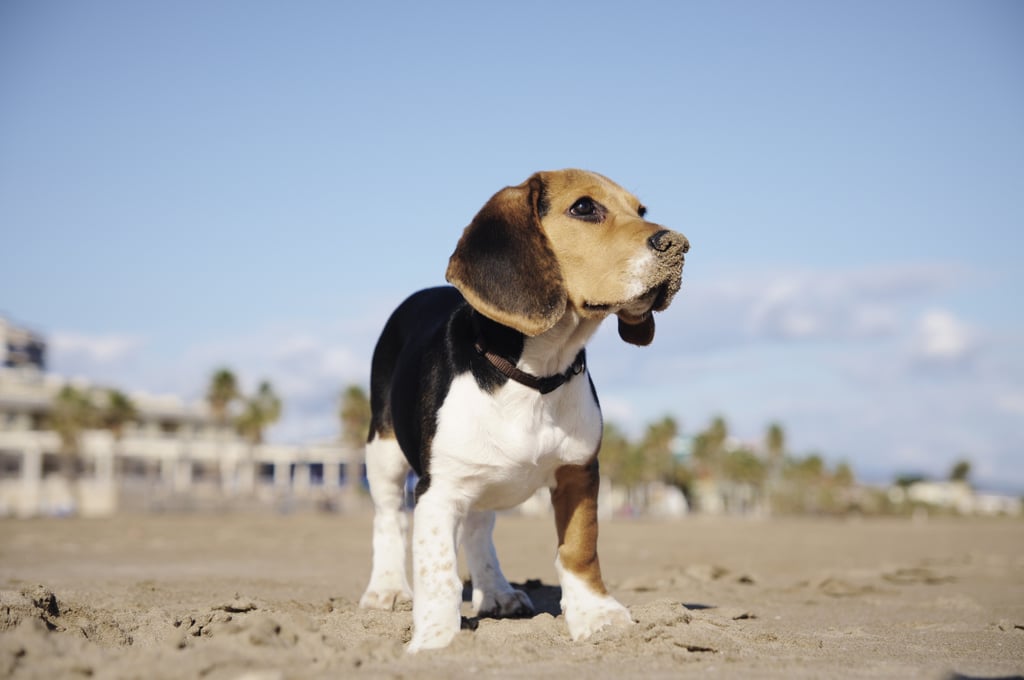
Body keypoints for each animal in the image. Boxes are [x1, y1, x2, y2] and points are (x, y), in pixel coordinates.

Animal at [358, 166, 688, 651]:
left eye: (641, 210)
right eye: (584, 207)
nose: (680, 245)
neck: (535, 376)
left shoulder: (578, 472)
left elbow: (579, 549)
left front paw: (597, 616)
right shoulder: (439, 490)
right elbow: (437, 572)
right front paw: (435, 640)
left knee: (478, 528)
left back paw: (496, 592)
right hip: (383, 451)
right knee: (388, 520)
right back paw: (386, 590)